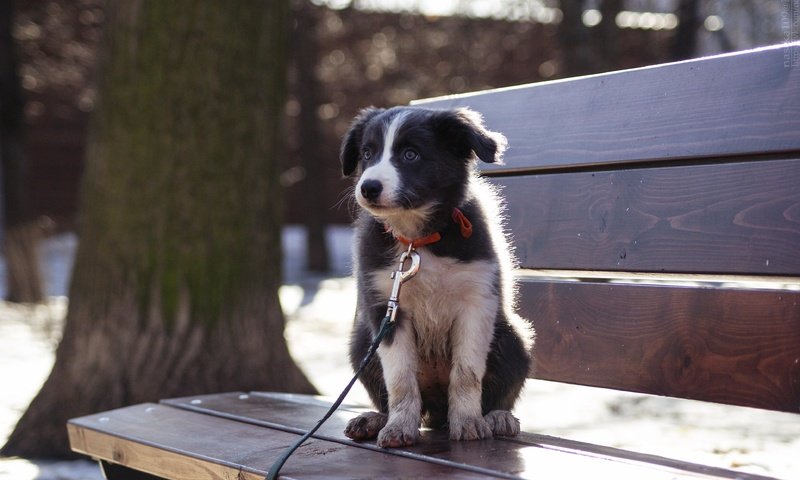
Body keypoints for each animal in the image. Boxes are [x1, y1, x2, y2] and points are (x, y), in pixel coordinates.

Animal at [338, 106, 532, 450]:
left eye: (411, 155)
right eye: (367, 154)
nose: (368, 187)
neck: (417, 241)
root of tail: (437, 413)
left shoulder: (477, 302)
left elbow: (466, 373)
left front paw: (468, 422)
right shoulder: (386, 308)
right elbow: (400, 378)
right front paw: (399, 427)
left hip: (513, 337)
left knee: (499, 391)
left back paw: (498, 417)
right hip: (362, 343)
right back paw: (376, 419)